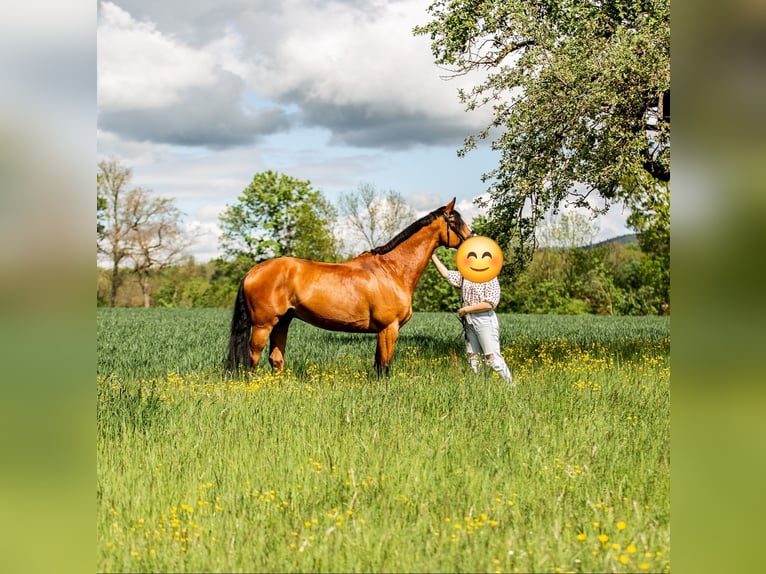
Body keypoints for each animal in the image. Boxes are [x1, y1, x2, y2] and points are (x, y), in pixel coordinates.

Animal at [225, 197, 473, 377]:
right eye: (455, 222)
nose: (473, 240)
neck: (392, 270)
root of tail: (253, 272)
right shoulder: (388, 329)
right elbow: (384, 367)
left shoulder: (382, 332)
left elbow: (378, 365)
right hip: (263, 325)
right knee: (252, 359)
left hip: (282, 322)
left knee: (275, 359)